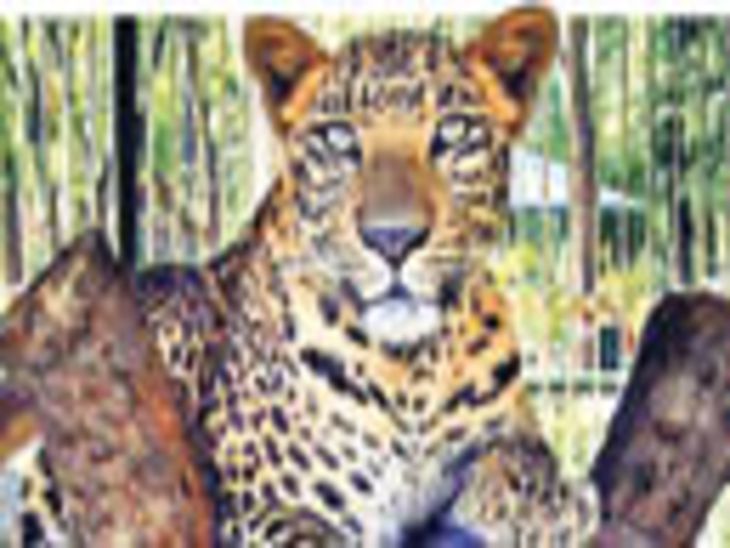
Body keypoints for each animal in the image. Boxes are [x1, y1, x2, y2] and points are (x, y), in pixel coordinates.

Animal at [4, 6, 597, 546]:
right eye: (339, 141)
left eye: (453, 133)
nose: (393, 239)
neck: (410, 371)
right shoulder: (257, 500)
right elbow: (310, 537)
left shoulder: (510, 426)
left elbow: (525, 457)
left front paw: (555, 505)